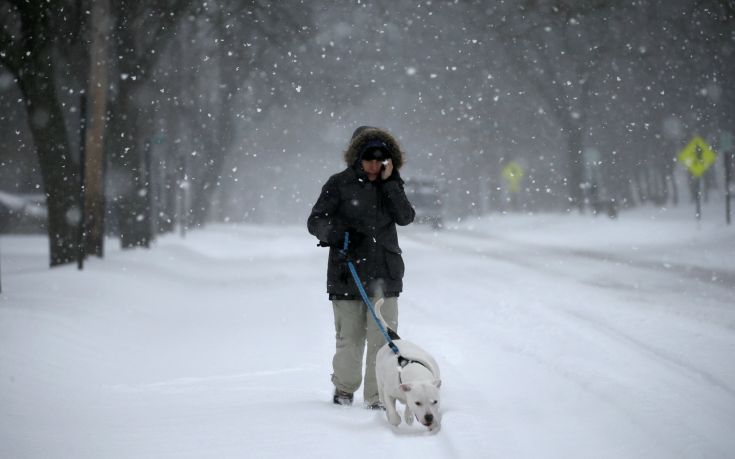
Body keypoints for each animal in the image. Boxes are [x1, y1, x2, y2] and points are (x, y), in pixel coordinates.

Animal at [376, 298, 440, 432]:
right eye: (418, 403)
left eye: (435, 401)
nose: (429, 417)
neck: (418, 375)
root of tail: (395, 341)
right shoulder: (389, 393)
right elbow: (392, 410)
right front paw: (394, 419)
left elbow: (408, 406)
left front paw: (409, 417)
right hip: (379, 382)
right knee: (383, 399)